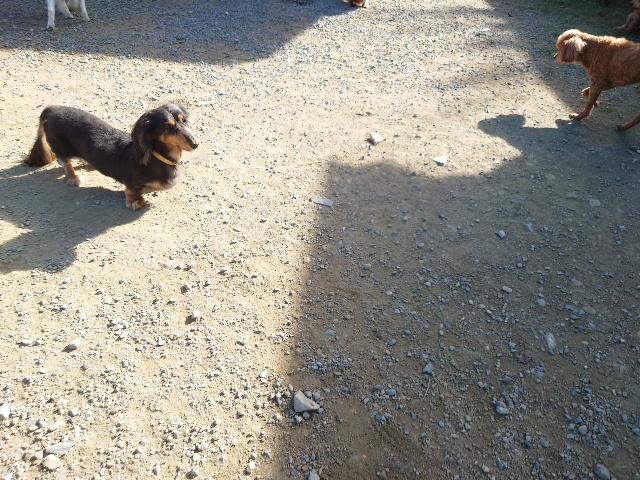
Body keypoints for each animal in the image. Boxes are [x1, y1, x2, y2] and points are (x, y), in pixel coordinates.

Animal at [24, 104, 198, 210]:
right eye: (168, 127)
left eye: (184, 120)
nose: (195, 144)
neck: (157, 156)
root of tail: (53, 109)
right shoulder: (132, 182)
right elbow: (131, 191)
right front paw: (135, 202)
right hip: (62, 148)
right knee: (64, 161)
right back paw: (73, 177)